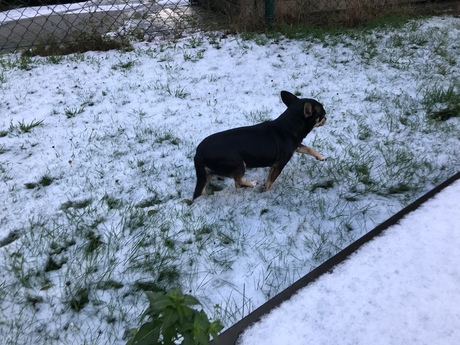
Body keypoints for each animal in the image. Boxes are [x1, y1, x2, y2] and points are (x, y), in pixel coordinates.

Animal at [192, 90, 326, 200]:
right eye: (322, 115)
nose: (326, 118)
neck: (289, 125)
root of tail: (199, 153)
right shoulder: (278, 164)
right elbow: (270, 180)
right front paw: (266, 191)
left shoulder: (296, 146)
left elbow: (308, 148)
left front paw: (321, 157)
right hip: (239, 164)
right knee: (238, 183)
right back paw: (252, 183)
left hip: (207, 174)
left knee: (202, 190)